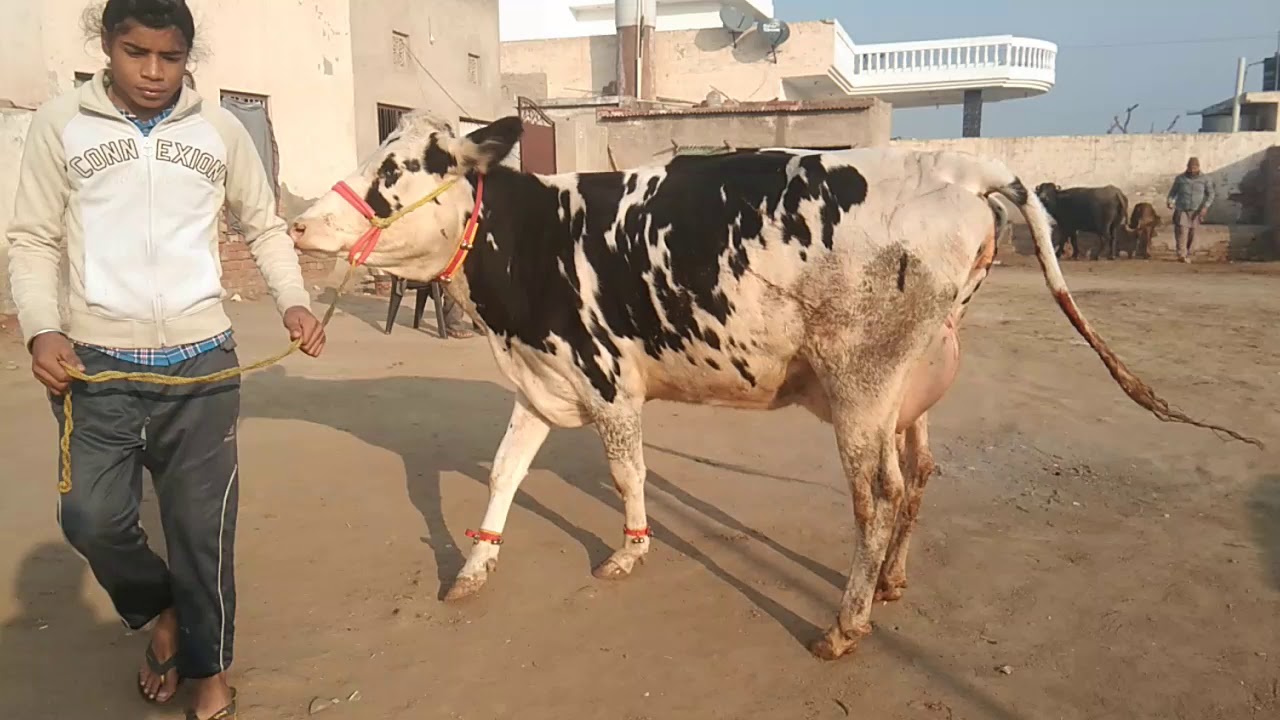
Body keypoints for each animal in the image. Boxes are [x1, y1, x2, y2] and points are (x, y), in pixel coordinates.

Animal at [288, 112, 1255, 661]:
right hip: (910, 387)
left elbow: (626, 474)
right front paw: (474, 567)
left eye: (393, 175)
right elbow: (501, 473)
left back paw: (845, 624)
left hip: (862, 388)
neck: (526, 244)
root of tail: (955, 167)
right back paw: (891, 586)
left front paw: (630, 552)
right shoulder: (540, 379)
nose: (301, 222)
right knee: (918, 479)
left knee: (876, 498)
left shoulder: (608, 385)